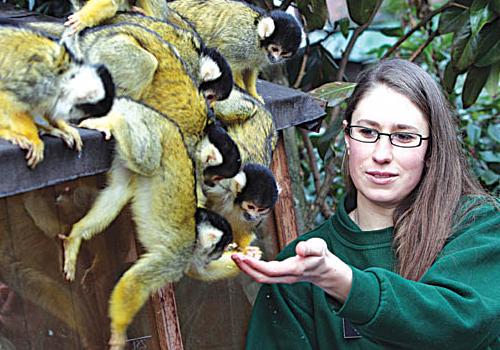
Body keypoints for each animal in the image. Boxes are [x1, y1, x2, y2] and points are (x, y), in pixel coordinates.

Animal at [0, 23, 114, 167]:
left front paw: (65, 127)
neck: (64, 76)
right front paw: (33, 137)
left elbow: (50, 107)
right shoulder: (40, 81)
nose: (74, 119)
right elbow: (6, 100)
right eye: (77, 111)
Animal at [59, 97, 233, 348]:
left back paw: (76, 236)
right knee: (146, 162)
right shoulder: (176, 257)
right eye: (217, 249)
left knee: (121, 188)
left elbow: (198, 271)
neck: (195, 234)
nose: (217, 256)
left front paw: (250, 256)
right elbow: (135, 282)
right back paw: (114, 121)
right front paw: (119, 331)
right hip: (151, 131)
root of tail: (160, 118)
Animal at [169, 0, 300, 101]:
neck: (258, 39)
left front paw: (253, 93)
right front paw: (241, 87)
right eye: (275, 49)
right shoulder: (242, 41)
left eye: (284, 53)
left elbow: (251, 69)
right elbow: (231, 62)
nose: (275, 59)